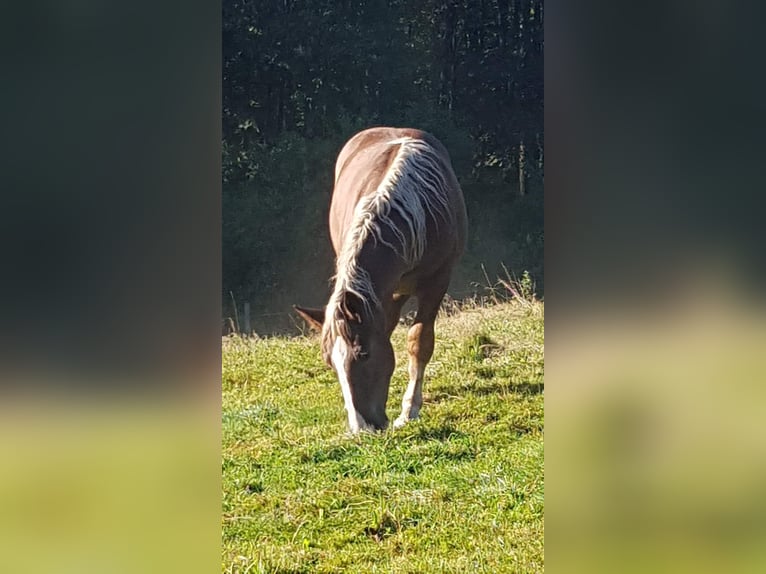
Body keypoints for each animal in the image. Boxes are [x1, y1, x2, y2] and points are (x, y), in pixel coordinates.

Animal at [296, 128, 468, 434]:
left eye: (363, 354)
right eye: (330, 363)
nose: (361, 428)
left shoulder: (436, 283)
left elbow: (419, 342)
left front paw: (409, 410)